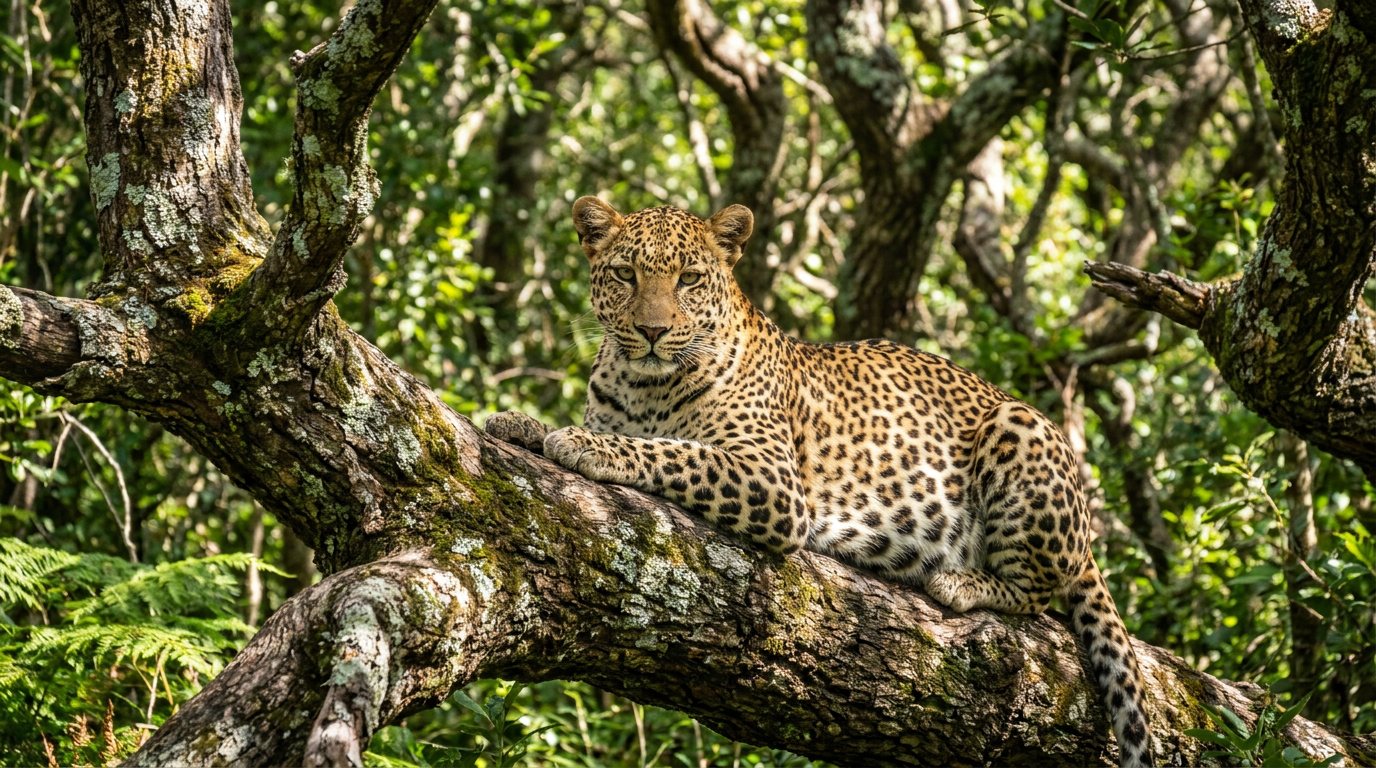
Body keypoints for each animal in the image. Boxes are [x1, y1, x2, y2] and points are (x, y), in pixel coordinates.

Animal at [486, 196, 1153, 768]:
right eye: (625, 275)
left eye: (689, 280)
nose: (652, 332)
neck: (642, 384)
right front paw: (520, 422)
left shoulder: (769, 477)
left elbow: (672, 451)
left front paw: (584, 444)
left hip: (1021, 429)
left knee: (1038, 593)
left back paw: (961, 582)